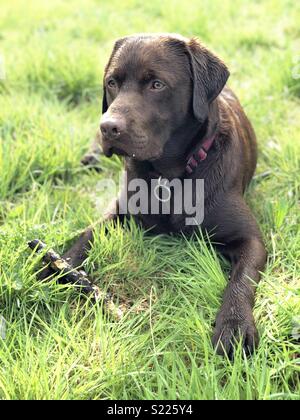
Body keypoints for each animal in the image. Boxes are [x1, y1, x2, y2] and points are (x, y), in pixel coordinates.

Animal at [47, 34, 268, 360]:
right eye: (111, 82)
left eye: (156, 84)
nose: (108, 127)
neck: (169, 177)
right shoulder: (119, 210)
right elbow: (87, 234)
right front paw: (55, 265)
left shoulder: (250, 239)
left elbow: (242, 279)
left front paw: (235, 325)